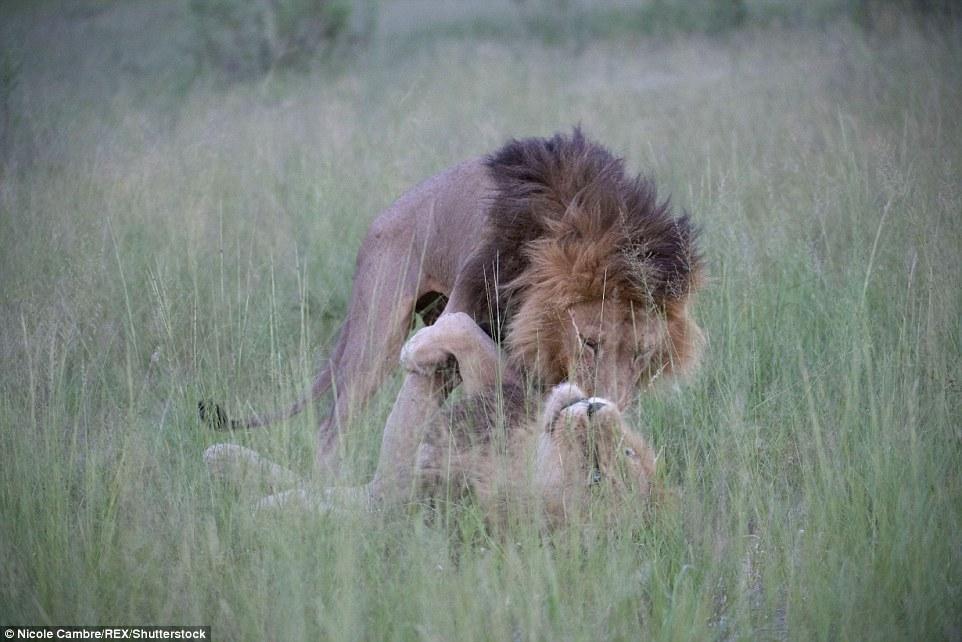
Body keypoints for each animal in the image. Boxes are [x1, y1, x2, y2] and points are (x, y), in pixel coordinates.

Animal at [199, 129, 700, 470]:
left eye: (643, 354)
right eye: (590, 342)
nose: (611, 409)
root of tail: (380, 220)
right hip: (374, 338)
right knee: (332, 427)